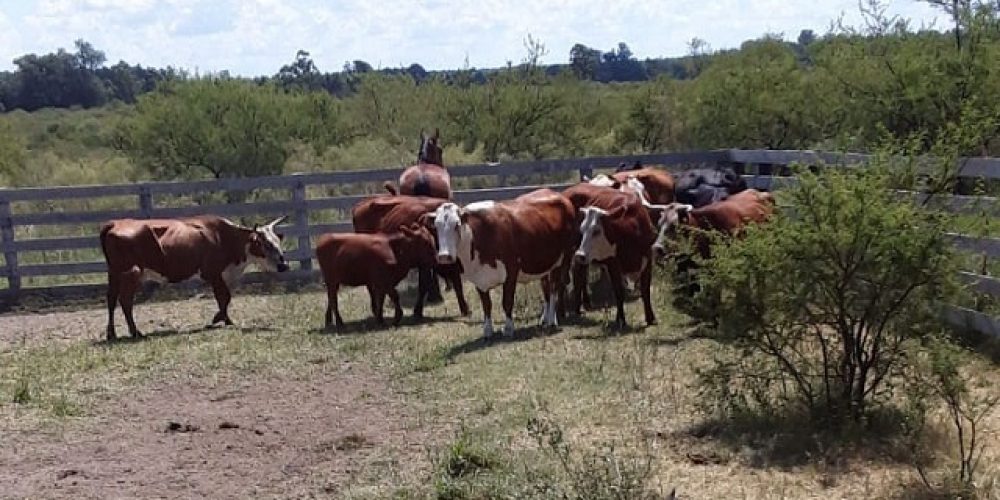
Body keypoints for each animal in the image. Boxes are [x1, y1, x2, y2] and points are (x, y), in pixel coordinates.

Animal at [100, 215, 292, 340]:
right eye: (265, 244)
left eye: (277, 242)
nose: (283, 265)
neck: (223, 236)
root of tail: (114, 223)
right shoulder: (213, 273)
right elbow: (224, 297)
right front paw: (219, 319)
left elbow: (224, 298)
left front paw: (225, 319)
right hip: (131, 273)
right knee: (125, 300)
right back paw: (135, 332)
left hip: (114, 273)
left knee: (111, 299)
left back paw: (112, 334)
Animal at [426, 189, 576, 338]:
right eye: (436, 226)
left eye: (456, 225)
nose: (444, 256)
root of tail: (555, 193)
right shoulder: (479, 279)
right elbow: (486, 305)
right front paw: (488, 330)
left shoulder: (511, 271)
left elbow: (507, 302)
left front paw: (508, 328)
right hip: (544, 264)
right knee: (546, 288)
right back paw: (544, 319)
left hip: (563, 259)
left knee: (555, 288)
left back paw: (551, 320)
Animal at [560, 184, 660, 328]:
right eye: (582, 230)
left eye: (596, 231)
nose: (580, 254)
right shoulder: (613, 264)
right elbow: (619, 292)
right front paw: (621, 320)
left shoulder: (647, 260)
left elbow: (645, 291)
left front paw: (650, 318)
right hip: (569, 254)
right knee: (565, 279)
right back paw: (563, 311)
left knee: (580, 276)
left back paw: (582, 306)